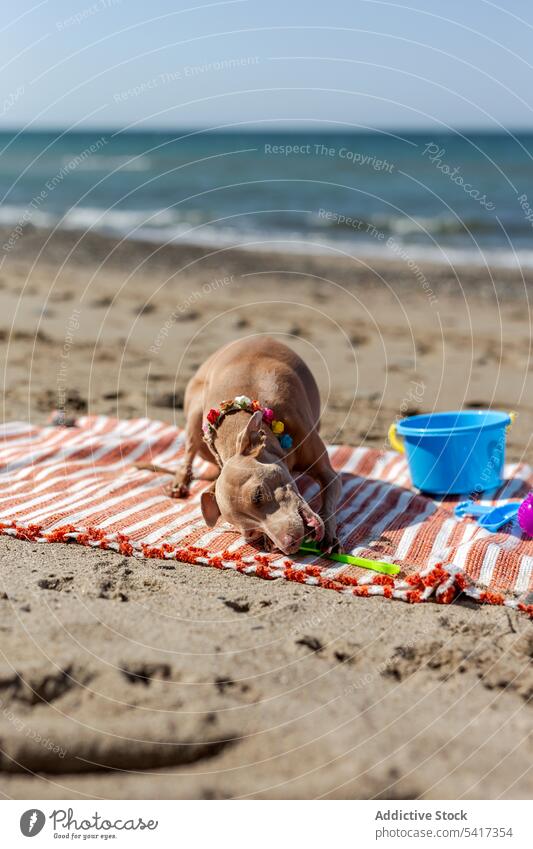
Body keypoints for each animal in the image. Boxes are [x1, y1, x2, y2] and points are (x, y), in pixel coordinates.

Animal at [170, 338, 342, 556]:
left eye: (258, 495)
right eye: (252, 533)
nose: (289, 545)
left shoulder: (328, 473)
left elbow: (329, 498)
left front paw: (329, 533)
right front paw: (270, 542)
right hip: (195, 411)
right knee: (189, 451)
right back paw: (180, 481)